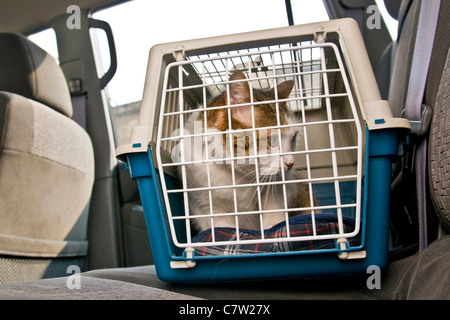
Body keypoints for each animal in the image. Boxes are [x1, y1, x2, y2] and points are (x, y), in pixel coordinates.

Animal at [177, 70, 312, 232]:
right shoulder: (206, 207)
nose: (290, 163)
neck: (238, 177)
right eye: (272, 140)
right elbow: (220, 228)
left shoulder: (280, 189)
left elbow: (273, 216)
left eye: (293, 138)